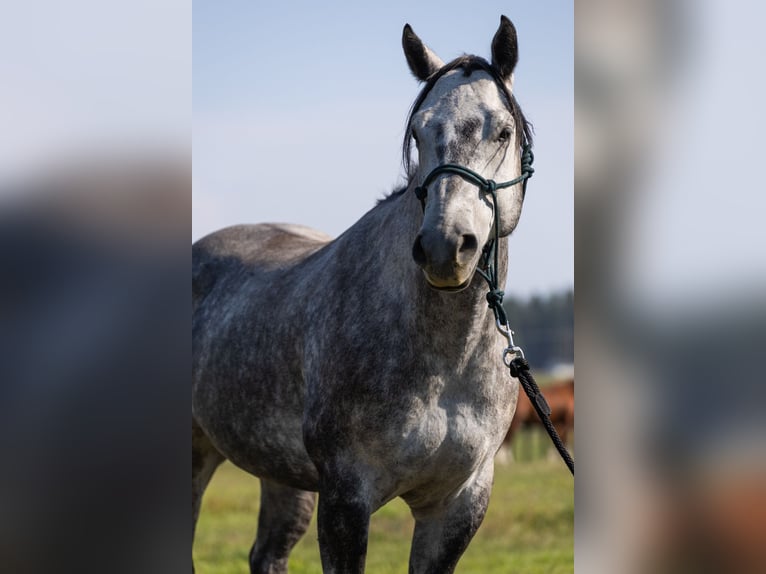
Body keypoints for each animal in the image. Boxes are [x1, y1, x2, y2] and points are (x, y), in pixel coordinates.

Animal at [194, 14, 536, 574]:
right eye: (419, 132)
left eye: (503, 131)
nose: (445, 246)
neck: (442, 360)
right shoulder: (345, 499)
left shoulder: (457, 504)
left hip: (284, 476)